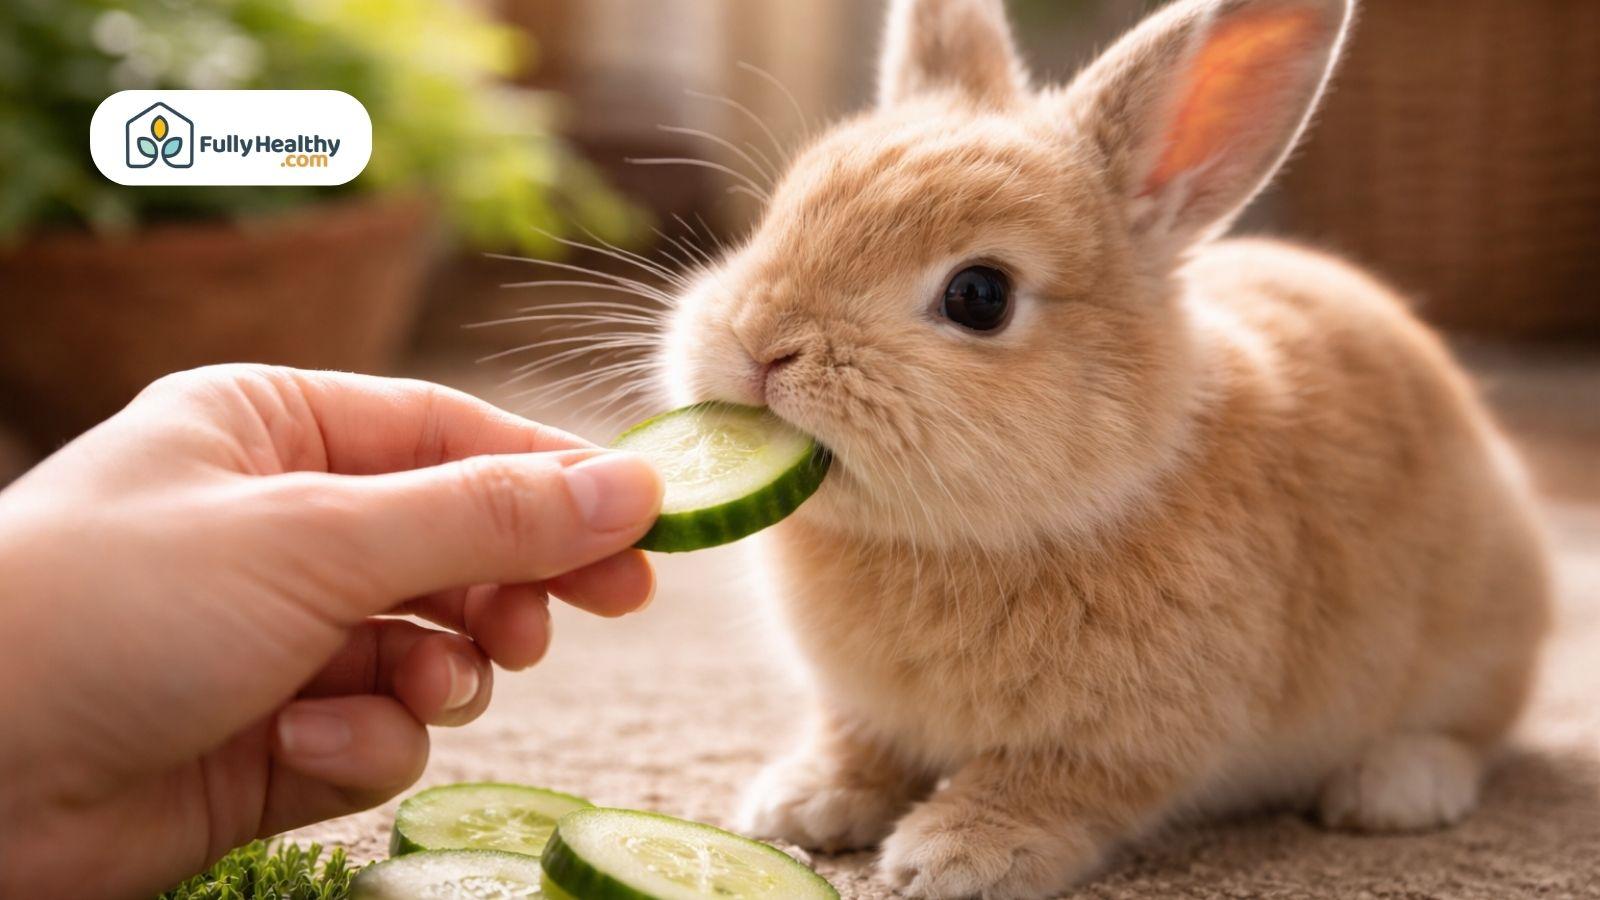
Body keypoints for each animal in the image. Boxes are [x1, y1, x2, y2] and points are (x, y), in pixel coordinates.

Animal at [654, 0, 1551, 896]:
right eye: (778, 213)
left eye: (979, 296)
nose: (760, 346)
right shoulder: (860, 707)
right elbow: (856, 746)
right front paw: (800, 806)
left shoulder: (1119, 739)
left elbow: (1046, 784)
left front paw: (955, 857)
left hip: (1471, 643)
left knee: (1475, 732)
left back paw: (1394, 789)